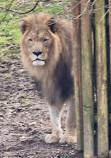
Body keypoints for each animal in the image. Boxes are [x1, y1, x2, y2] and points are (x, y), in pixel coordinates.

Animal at [19, 12, 76, 143]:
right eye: (30, 40)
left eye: (45, 40)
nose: (36, 53)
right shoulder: (52, 89)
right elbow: (53, 114)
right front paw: (55, 135)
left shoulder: (75, 89)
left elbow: (71, 117)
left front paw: (69, 137)